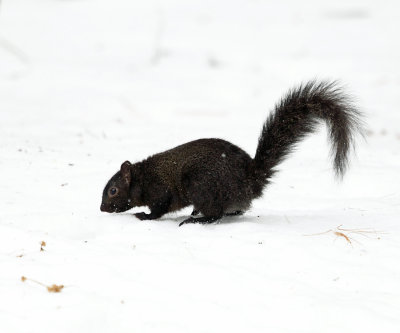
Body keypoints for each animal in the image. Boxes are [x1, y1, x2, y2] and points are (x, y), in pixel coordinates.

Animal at [100, 80, 362, 226]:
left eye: (113, 191)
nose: (102, 209)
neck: (143, 177)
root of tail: (251, 180)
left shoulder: (161, 191)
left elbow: (159, 210)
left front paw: (143, 216)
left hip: (201, 184)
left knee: (215, 213)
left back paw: (196, 219)